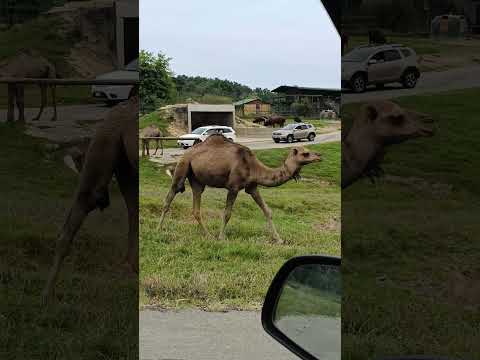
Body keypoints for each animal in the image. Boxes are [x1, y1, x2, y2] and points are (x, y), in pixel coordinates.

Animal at [159, 135, 320, 242]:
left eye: (308, 150)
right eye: (305, 153)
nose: (319, 155)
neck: (254, 167)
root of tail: (186, 152)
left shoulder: (252, 187)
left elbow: (267, 211)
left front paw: (279, 239)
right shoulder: (233, 187)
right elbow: (227, 213)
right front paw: (221, 237)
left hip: (197, 180)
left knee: (196, 208)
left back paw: (208, 235)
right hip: (183, 166)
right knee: (169, 197)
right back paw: (158, 229)